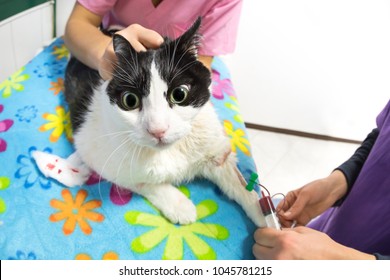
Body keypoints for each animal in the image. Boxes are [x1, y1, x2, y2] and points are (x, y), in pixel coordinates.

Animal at [33, 18, 266, 228]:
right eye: (130, 100)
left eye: (179, 94)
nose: (158, 130)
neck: (171, 151)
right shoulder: (98, 154)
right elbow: (145, 182)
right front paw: (180, 205)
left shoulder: (215, 152)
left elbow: (241, 185)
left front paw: (265, 216)